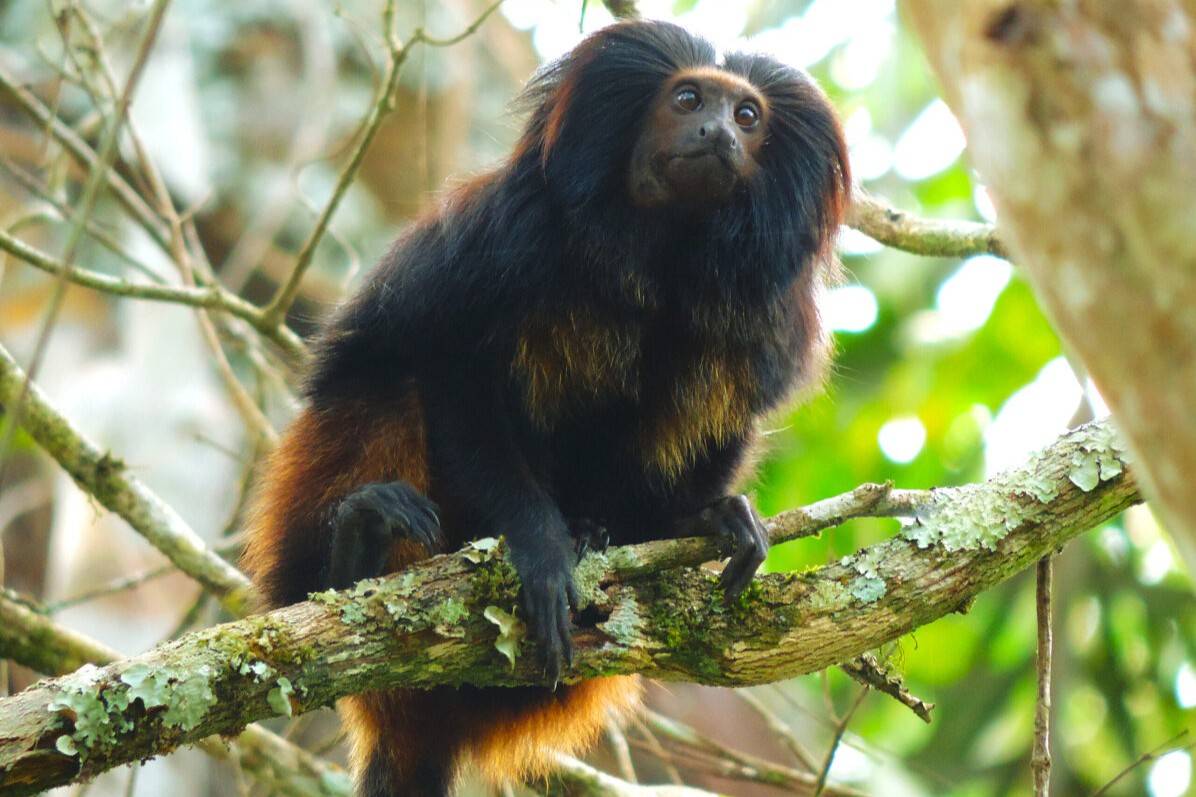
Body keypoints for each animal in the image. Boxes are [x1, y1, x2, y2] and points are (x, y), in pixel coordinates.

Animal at [241, 19, 849, 797]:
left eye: (748, 116)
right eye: (687, 99)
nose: (717, 132)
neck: (664, 253)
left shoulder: (768, 316)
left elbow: (717, 428)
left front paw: (699, 519)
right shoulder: (511, 232)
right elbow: (451, 368)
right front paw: (541, 547)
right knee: (385, 383)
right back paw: (354, 551)